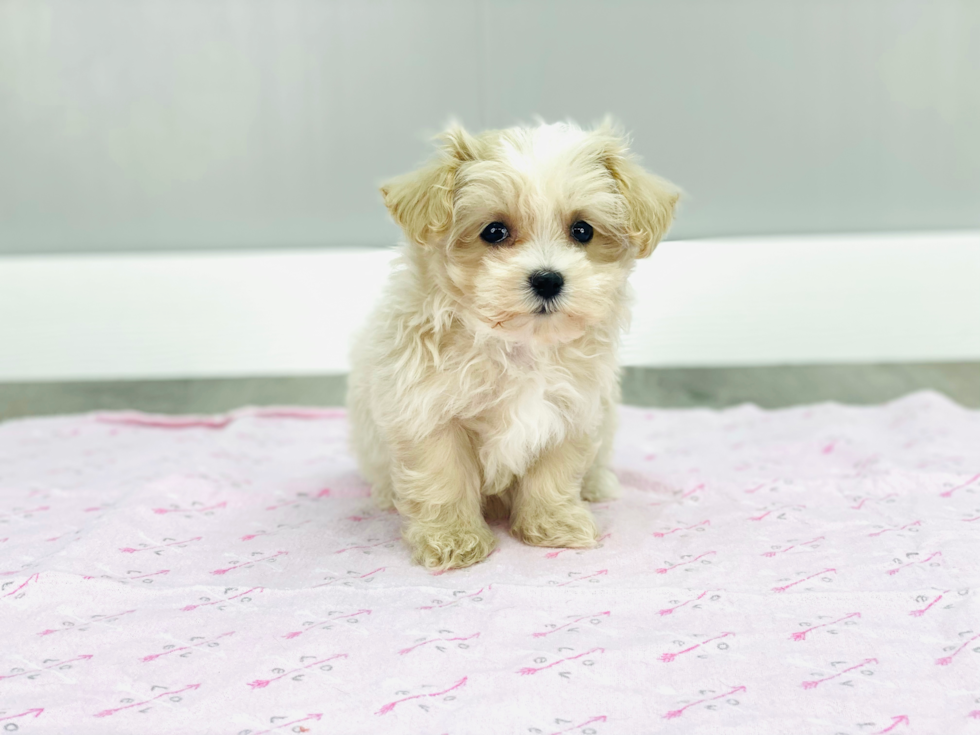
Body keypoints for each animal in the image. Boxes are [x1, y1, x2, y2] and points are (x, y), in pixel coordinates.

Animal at [348, 119, 676, 568]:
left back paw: (597, 484)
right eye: (494, 231)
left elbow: (553, 474)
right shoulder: (427, 412)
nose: (548, 279)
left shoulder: (571, 410)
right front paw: (453, 538)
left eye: (582, 230)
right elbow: (444, 478)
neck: (518, 344)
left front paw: (554, 523)